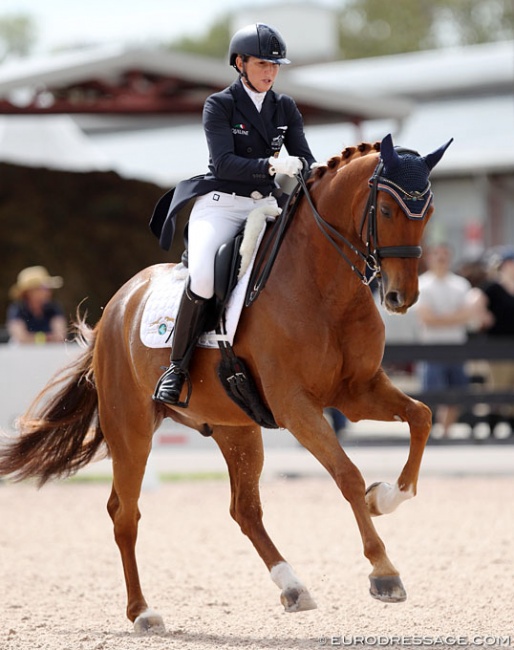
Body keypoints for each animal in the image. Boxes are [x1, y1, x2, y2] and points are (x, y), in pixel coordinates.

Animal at [0, 134, 448, 632]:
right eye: (386, 210)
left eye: (427, 211)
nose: (401, 297)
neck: (322, 285)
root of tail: (116, 307)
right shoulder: (297, 406)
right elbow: (347, 474)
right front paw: (383, 571)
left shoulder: (356, 391)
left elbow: (421, 417)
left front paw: (385, 497)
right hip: (130, 428)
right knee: (125, 512)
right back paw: (143, 612)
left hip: (237, 429)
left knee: (244, 510)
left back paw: (293, 587)